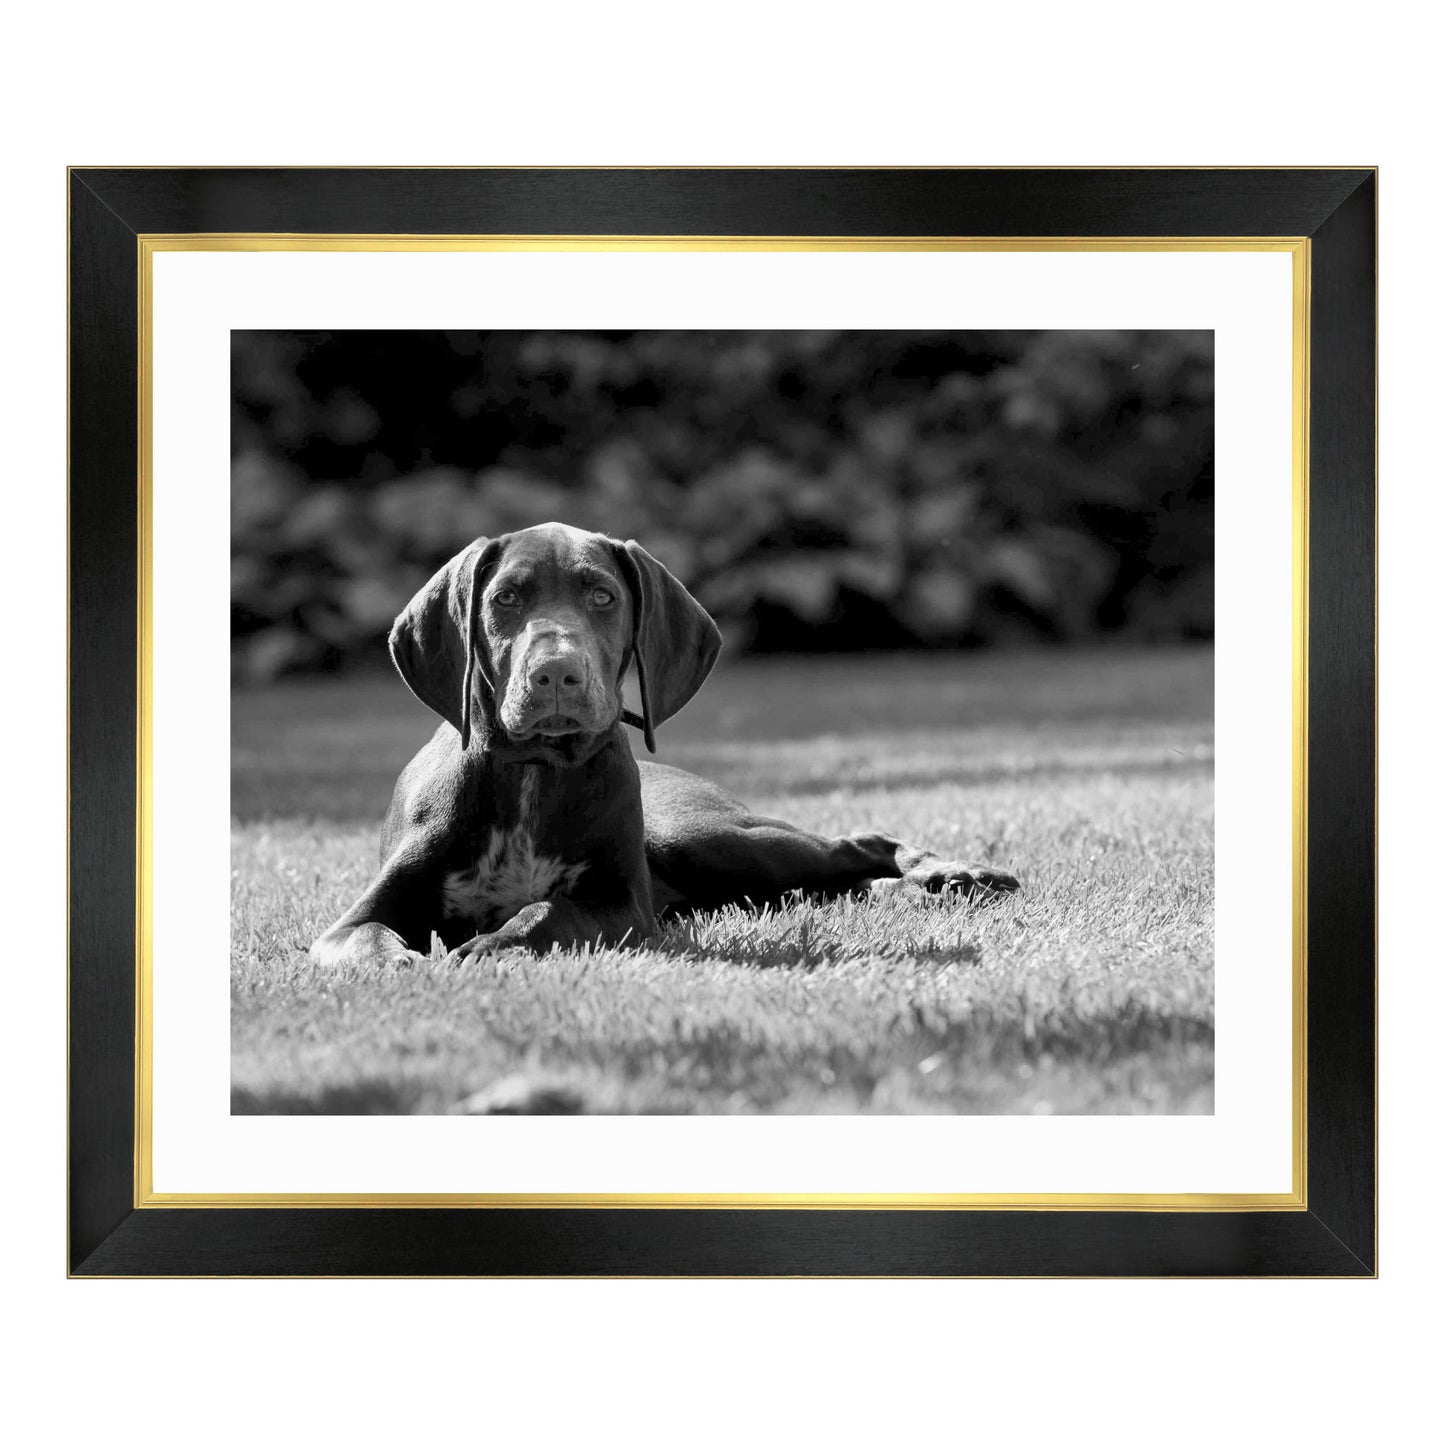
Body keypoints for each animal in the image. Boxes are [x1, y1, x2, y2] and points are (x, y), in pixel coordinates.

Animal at [310, 522, 1019, 967]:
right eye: (505, 598)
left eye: (603, 596)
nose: (556, 674)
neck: (534, 771)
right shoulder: (350, 922)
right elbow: (365, 939)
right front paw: (401, 962)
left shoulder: (622, 908)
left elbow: (546, 911)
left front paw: (488, 946)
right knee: (834, 883)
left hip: (703, 838)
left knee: (854, 845)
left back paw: (955, 875)